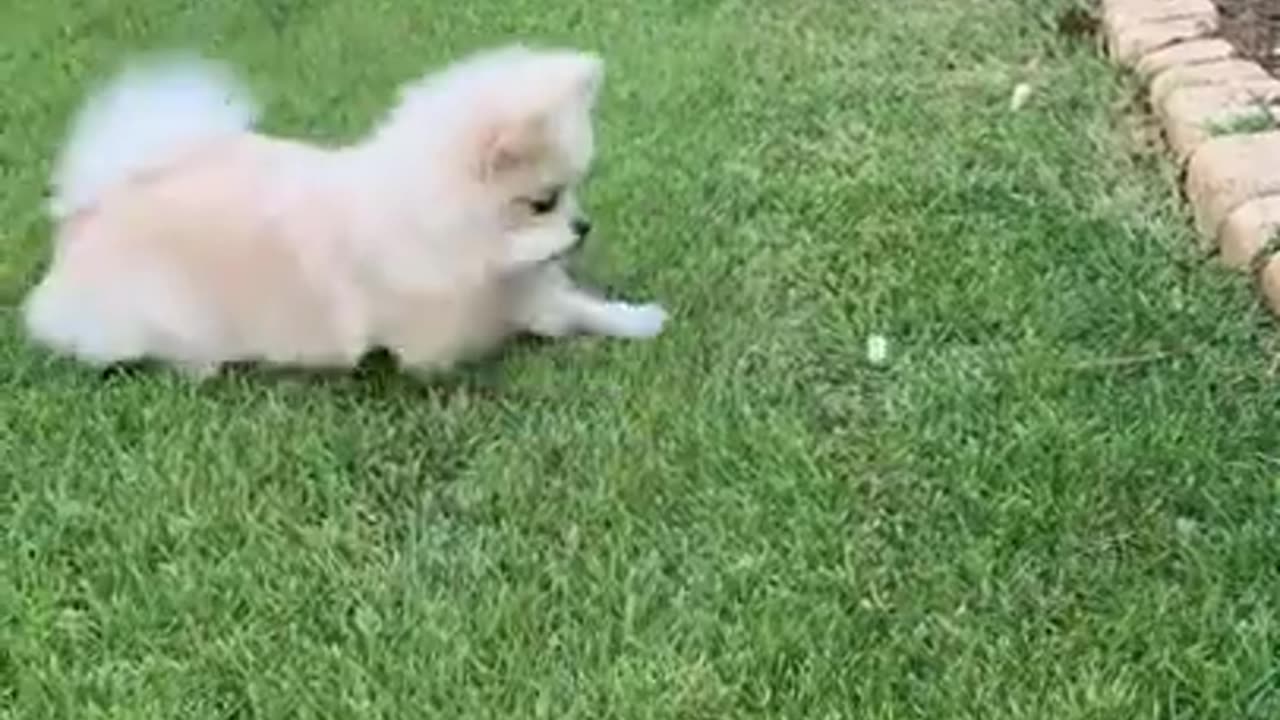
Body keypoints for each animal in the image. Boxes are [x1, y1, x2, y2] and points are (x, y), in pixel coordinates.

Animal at [22, 45, 670, 379]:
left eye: (572, 193)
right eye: (542, 203)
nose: (583, 227)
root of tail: (92, 207)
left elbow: (573, 306)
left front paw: (635, 319)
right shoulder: (442, 327)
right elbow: (530, 319)